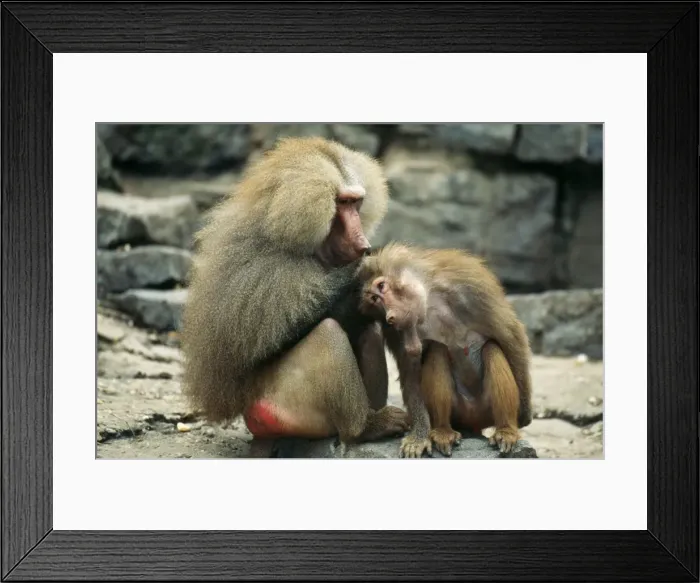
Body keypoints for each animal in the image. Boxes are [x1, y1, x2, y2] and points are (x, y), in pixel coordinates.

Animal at [180, 136, 411, 453]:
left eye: (357, 202)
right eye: (342, 202)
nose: (363, 243)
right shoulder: (268, 272)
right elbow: (277, 339)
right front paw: (361, 272)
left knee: (368, 330)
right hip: (283, 406)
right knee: (327, 332)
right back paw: (364, 428)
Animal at [357, 242, 533, 458]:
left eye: (382, 286)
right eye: (375, 299)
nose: (390, 316)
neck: (430, 298)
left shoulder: (469, 284)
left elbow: (510, 333)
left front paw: (524, 414)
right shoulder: (397, 330)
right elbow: (411, 372)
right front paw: (419, 437)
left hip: (486, 409)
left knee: (491, 348)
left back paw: (505, 430)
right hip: (458, 411)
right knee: (437, 350)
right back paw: (442, 431)